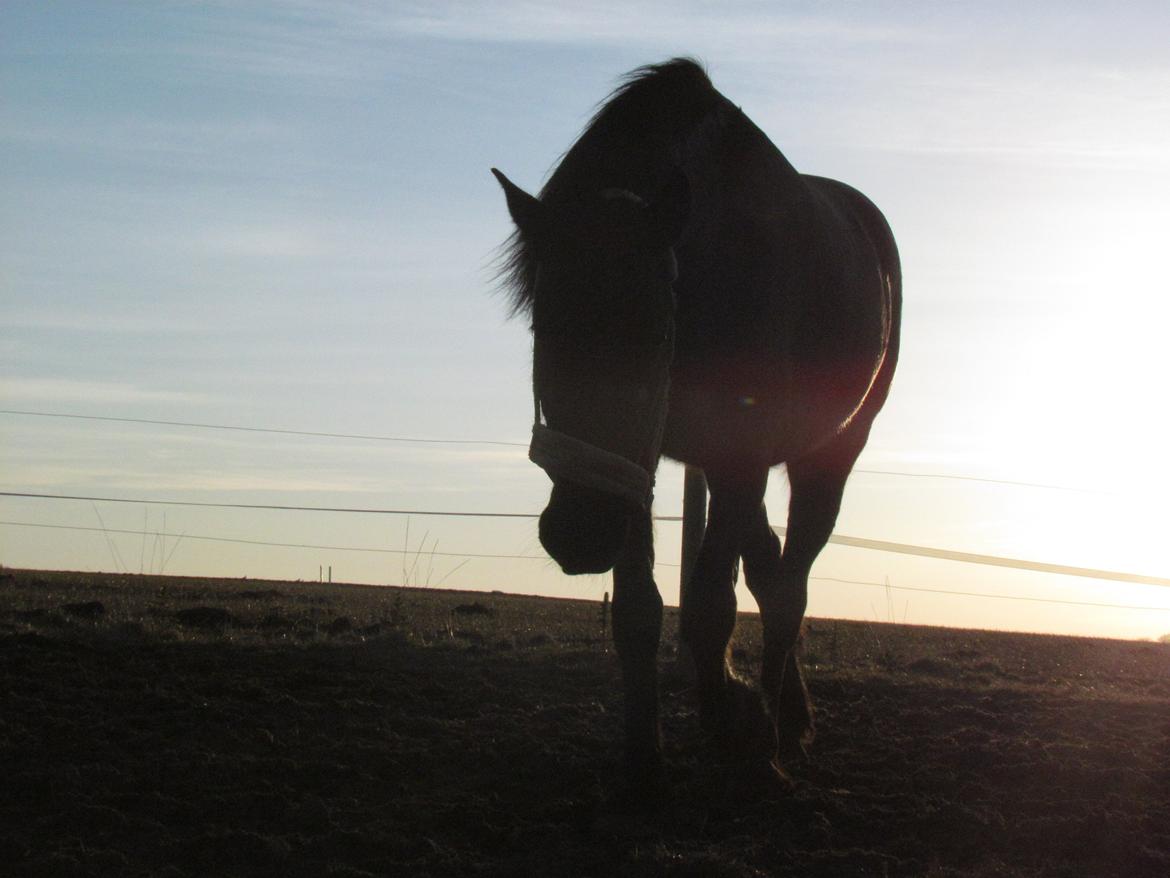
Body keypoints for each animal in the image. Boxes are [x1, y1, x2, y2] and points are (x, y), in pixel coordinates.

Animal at [489, 62, 898, 791]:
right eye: (542, 327)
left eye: (657, 332)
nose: (577, 534)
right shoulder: (640, 465)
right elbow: (640, 610)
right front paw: (645, 758)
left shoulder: (738, 457)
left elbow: (711, 605)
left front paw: (754, 750)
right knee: (768, 565)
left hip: (831, 453)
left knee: (789, 583)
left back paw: (778, 725)